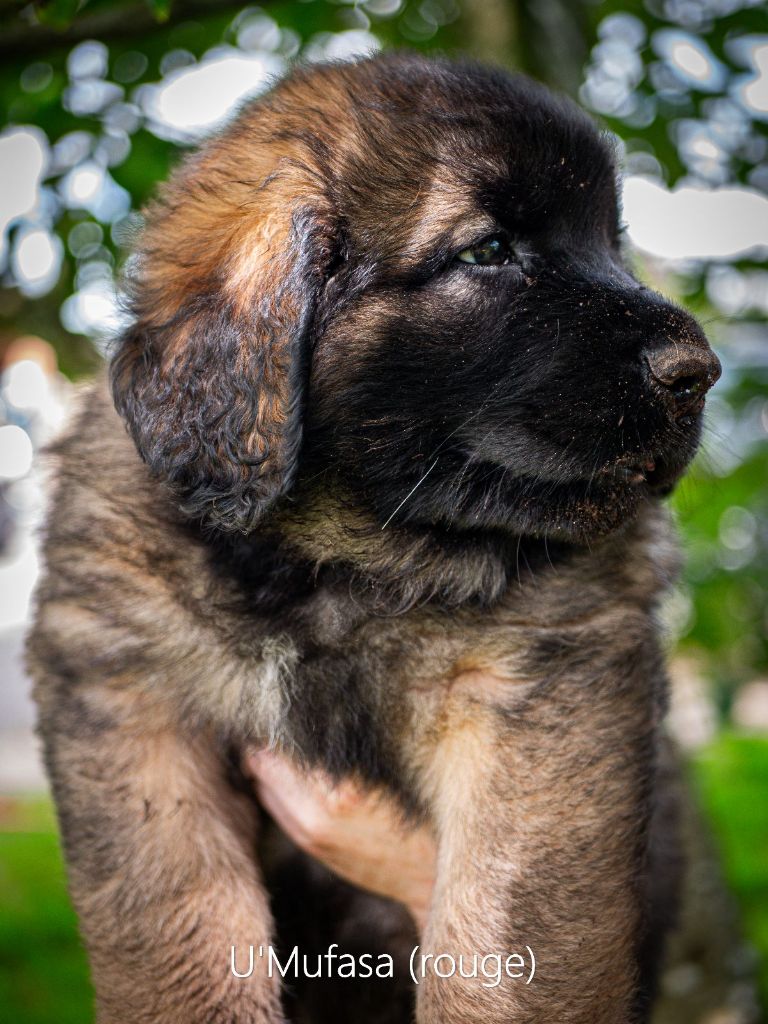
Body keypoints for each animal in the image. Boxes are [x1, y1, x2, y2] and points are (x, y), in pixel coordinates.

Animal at [30, 49, 720, 1024]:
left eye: (612, 247)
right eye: (487, 251)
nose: (700, 372)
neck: (338, 557)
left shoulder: (541, 695)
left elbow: (501, 945)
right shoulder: (128, 699)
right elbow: (179, 941)